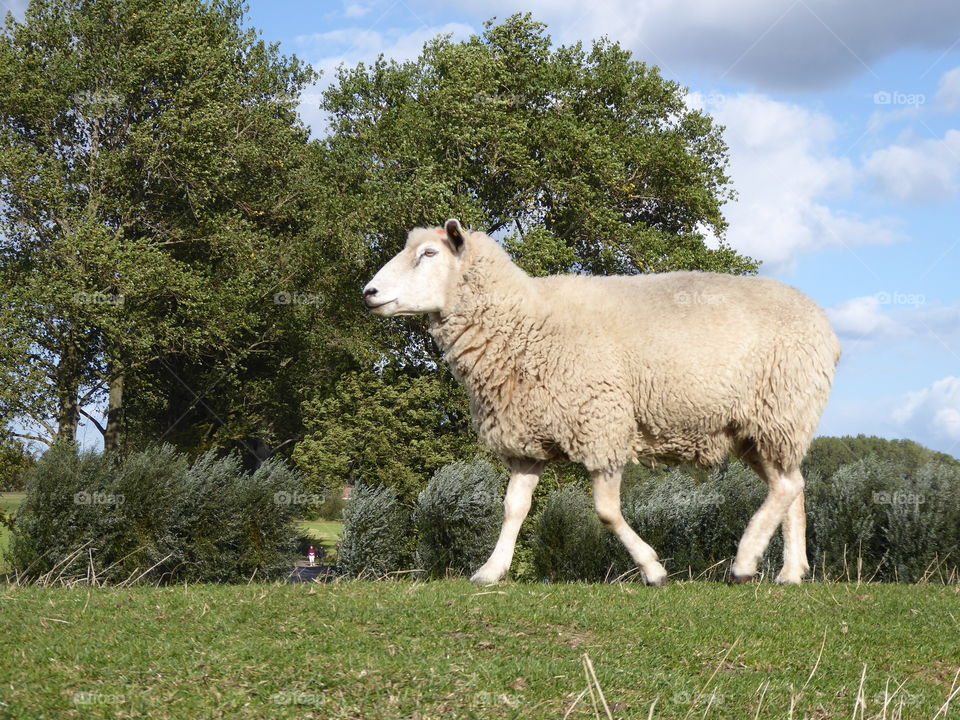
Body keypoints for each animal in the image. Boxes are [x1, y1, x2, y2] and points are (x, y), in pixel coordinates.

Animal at [363, 219, 841, 586]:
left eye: (428, 253)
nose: (368, 292)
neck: (524, 321)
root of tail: (824, 325)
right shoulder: (528, 440)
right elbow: (513, 508)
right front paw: (491, 571)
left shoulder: (602, 423)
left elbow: (607, 512)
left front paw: (653, 570)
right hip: (756, 429)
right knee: (793, 487)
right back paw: (790, 573)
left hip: (780, 409)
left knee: (786, 487)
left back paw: (745, 562)